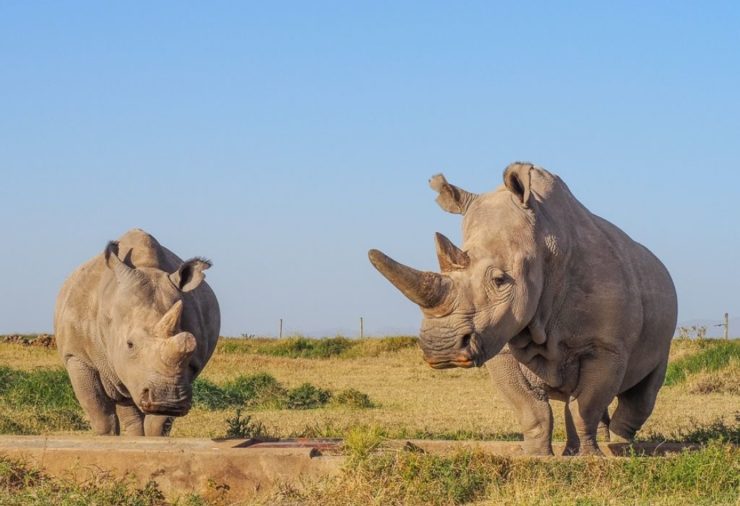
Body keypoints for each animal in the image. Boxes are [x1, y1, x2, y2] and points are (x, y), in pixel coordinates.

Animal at [55, 228, 220, 434]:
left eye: (192, 342)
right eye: (130, 344)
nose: (168, 399)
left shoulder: (186, 369)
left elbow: (159, 423)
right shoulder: (77, 355)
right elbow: (100, 413)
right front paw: (105, 438)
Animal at [370, 162, 676, 454]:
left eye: (499, 280)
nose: (441, 349)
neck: (545, 246)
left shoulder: (606, 346)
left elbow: (584, 406)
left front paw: (585, 456)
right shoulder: (498, 341)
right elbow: (529, 406)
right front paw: (535, 454)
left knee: (643, 391)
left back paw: (622, 447)